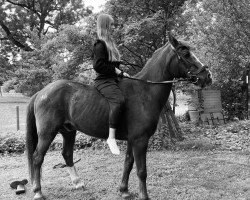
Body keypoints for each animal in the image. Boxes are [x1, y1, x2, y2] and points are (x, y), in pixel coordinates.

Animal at [26, 34, 211, 200]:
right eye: (185, 53)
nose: (207, 76)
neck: (144, 92)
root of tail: (41, 92)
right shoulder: (140, 140)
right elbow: (141, 170)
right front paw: (144, 196)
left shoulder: (133, 140)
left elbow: (128, 164)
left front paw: (124, 191)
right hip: (48, 133)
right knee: (37, 158)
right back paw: (38, 192)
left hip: (68, 131)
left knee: (67, 154)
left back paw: (78, 183)